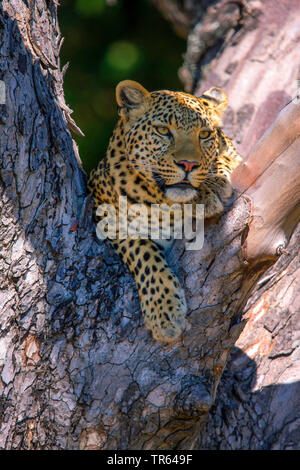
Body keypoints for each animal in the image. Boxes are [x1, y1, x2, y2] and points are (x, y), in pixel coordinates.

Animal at [87, 81, 241, 344]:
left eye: (204, 134)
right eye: (163, 130)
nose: (188, 165)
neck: (166, 203)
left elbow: (228, 157)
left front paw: (213, 184)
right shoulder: (104, 214)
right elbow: (142, 252)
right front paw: (164, 313)